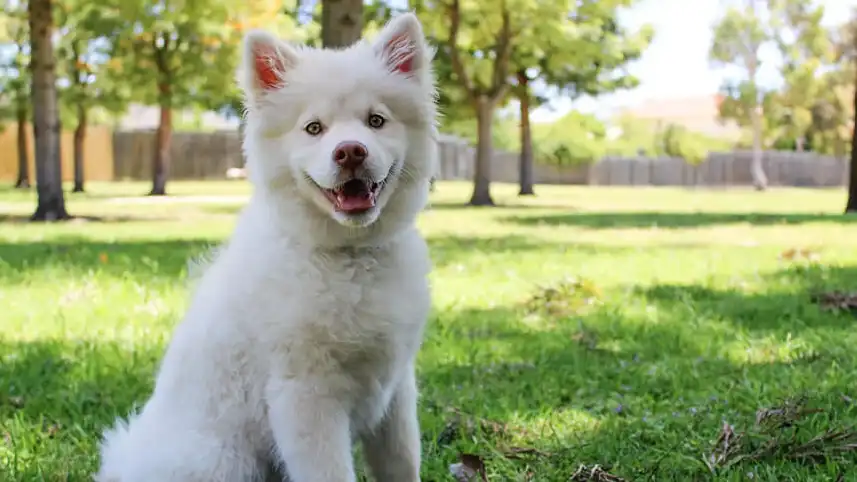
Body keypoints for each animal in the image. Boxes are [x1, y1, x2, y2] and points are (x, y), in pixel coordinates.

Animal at [97, 12, 438, 482]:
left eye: (375, 121)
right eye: (314, 128)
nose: (350, 151)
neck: (349, 257)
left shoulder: (396, 388)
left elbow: (402, 463)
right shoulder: (305, 395)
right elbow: (332, 472)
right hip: (225, 461)